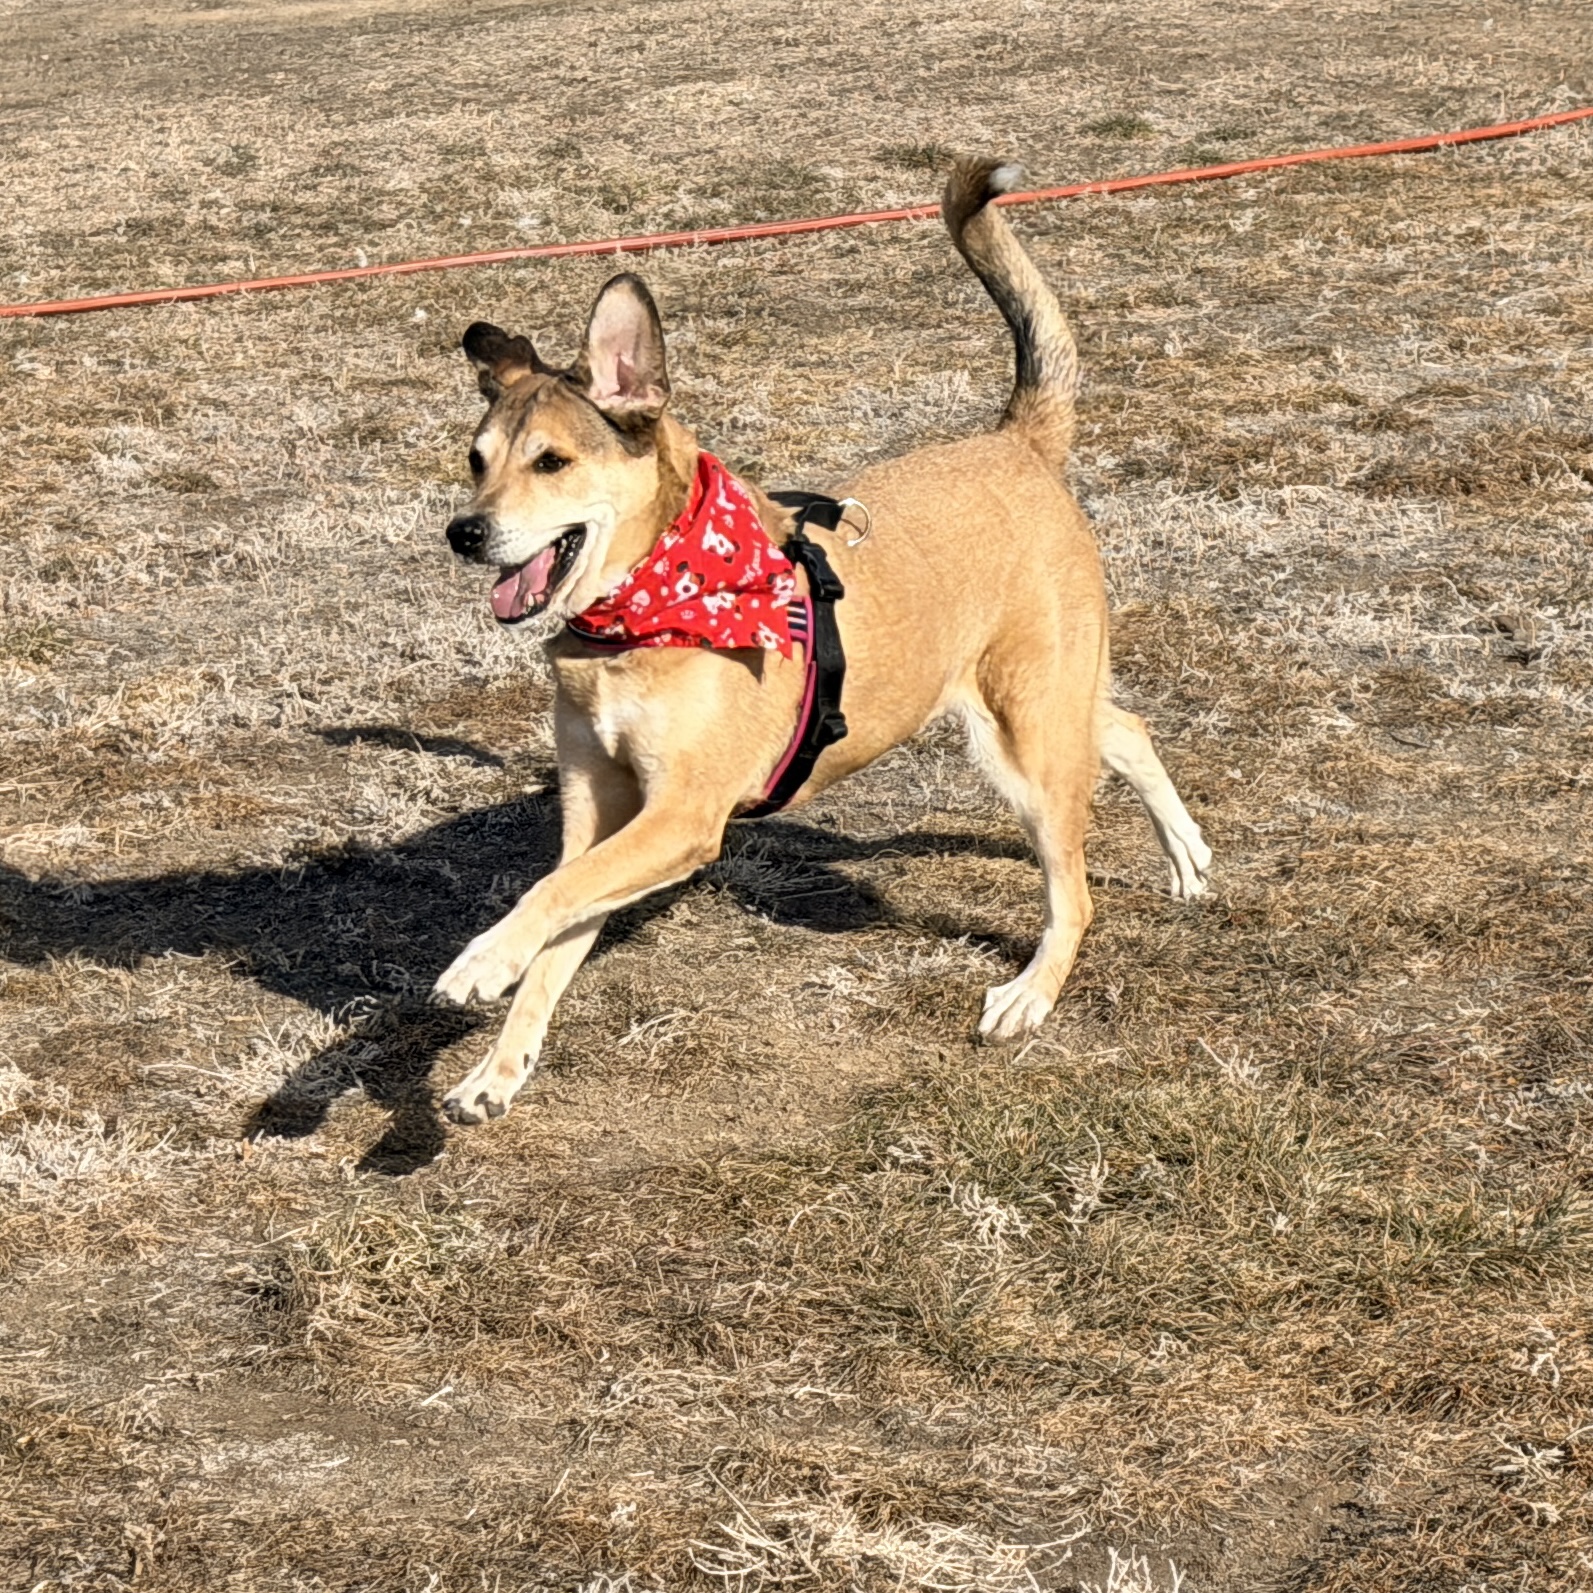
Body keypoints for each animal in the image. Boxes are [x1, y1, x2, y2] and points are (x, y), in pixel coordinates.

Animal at [433, 158, 1211, 1125]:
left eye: (551, 462)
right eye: (476, 459)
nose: (464, 533)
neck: (637, 623)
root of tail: (1017, 443)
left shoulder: (681, 815)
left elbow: (547, 894)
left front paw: (477, 963)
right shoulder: (597, 814)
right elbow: (553, 933)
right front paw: (495, 1070)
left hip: (1023, 741)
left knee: (1073, 890)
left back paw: (1031, 992)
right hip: (1035, 708)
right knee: (1125, 728)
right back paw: (1186, 858)